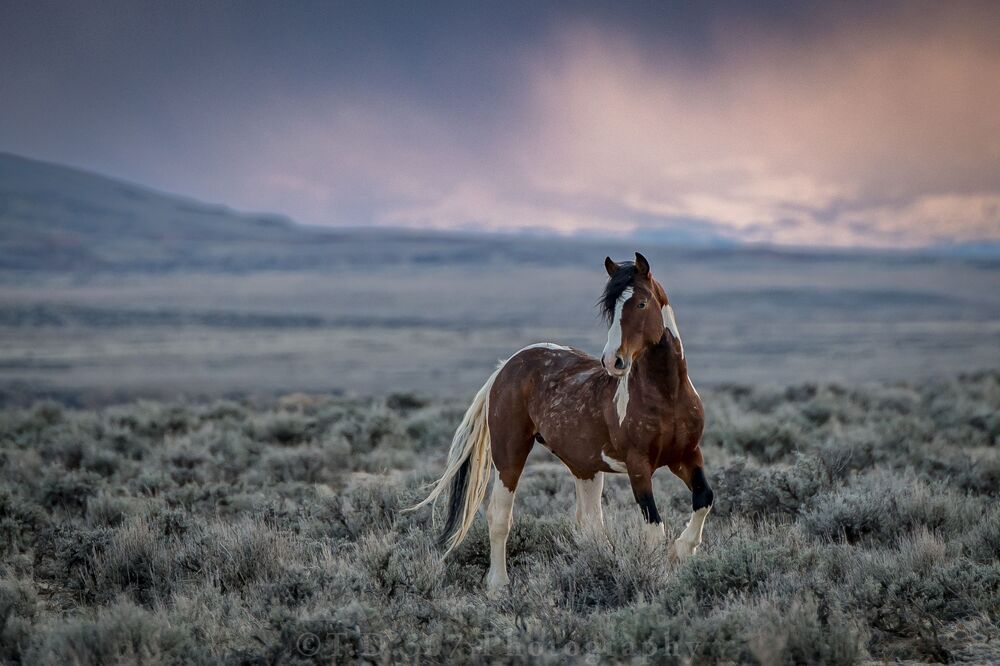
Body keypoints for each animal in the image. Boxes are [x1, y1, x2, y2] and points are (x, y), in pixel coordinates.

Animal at [410, 252, 714, 593]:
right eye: (611, 309)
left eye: (641, 303)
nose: (613, 361)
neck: (667, 396)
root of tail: (507, 366)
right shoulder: (639, 466)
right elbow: (654, 528)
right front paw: (662, 573)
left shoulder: (687, 455)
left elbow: (704, 499)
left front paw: (683, 551)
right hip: (510, 454)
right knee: (500, 515)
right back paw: (498, 585)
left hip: (586, 467)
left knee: (590, 523)